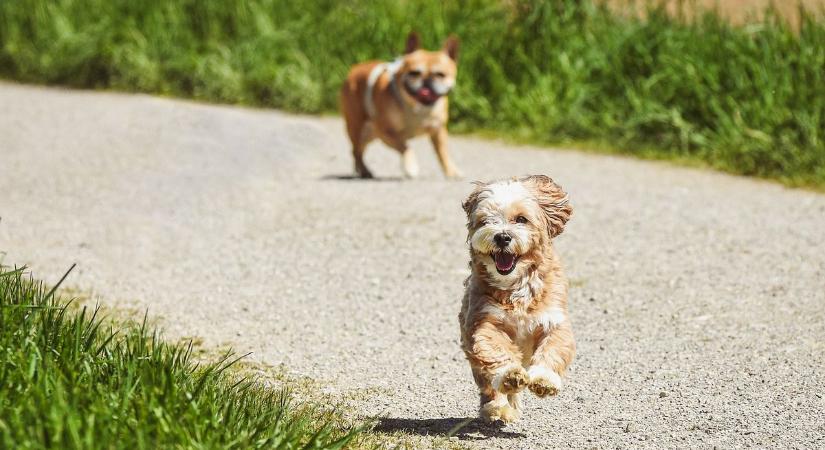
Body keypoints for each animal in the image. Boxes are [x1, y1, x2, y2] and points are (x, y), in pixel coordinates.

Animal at [338, 32, 460, 179]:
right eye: (414, 73)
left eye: (440, 74)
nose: (426, 82)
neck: (417, 108)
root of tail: (355, 69)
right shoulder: (385, 132)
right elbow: (405, 147)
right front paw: (411, 167)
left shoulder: (438, 131)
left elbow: (443, 152)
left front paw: (451, 171)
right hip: (356, 127)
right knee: (356, 150)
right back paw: (364, 170)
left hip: (369, 134)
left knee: (359, 149)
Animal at [458, 174, 572, 424]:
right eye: (485, 221)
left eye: (521, 219)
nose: (502, 237)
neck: (515, 286)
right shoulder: (484, 322)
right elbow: (496, 350)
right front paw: (510, 375)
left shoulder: (554, 320)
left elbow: (553, 349)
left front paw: (545, 380)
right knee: (489, 385)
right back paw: (498, 407)